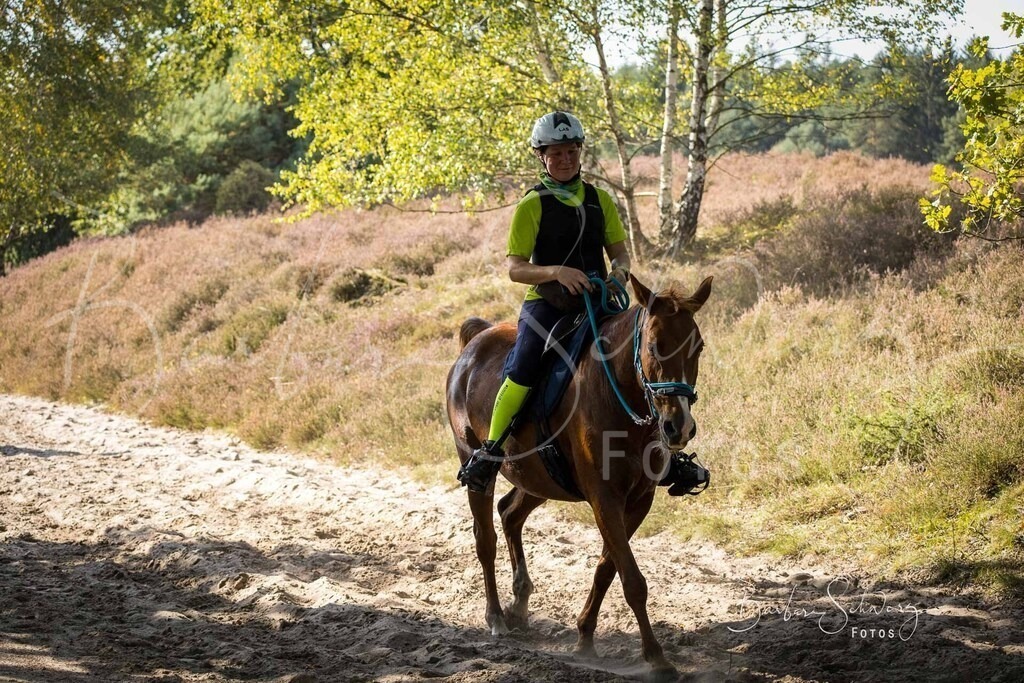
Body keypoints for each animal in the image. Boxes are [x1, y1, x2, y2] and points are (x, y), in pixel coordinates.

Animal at [445, 273, 712, 680]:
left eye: (697, 347)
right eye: (654, 345)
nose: (678, 427)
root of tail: (476, 342)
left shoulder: (638, 500)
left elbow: (608, 569)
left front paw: (585, 636)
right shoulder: (605, 499)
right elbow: (632, 580)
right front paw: (656, 657)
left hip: (538, 478)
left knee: (510, 513)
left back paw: (519, 603)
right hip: (478, 466)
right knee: (485, 539)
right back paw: (496, 617)